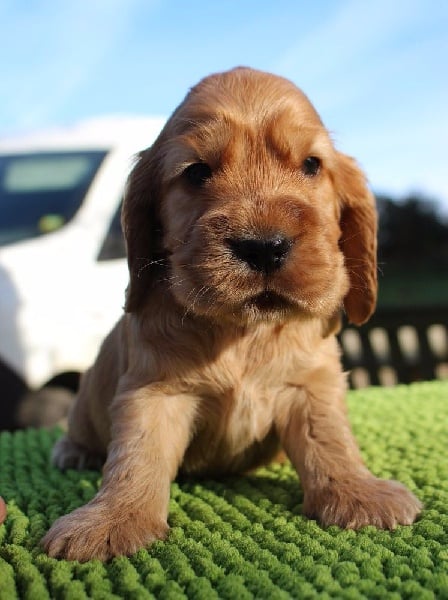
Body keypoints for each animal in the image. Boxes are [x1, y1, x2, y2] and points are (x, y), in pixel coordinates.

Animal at [41, 67, 420, 564]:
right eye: (197, 172)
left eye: (312, 165)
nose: (264, 247)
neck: (245, 331)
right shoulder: (155, 390)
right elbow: (136, 456)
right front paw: (113, 520)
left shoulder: (312, 381)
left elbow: (329, 437)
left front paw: (357, 491)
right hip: (86, 403)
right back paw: (73, 452)